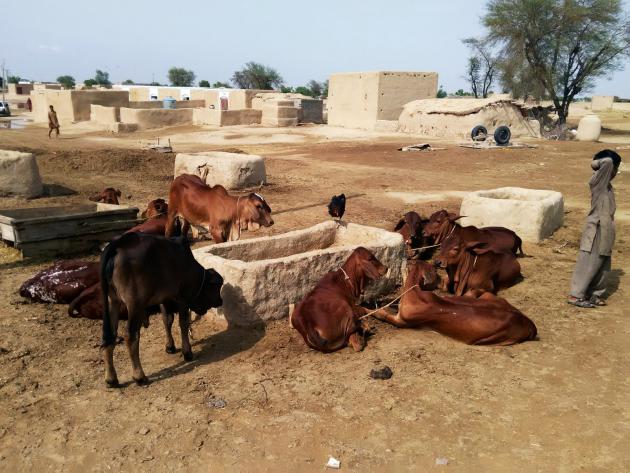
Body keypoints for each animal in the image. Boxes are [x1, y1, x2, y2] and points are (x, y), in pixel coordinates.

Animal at [101, 232, 225, 388]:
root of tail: (118, 244)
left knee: (109, 335)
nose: (220, 300)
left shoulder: (163, 299)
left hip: (112, 301)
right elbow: (183, 323)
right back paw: (139, 376)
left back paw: (111, 379)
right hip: (135, 304)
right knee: (131, 336)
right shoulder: (183, 297)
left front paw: (170, 346)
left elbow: (167, 321)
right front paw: (187, 352)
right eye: (216, 287)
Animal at [370, 260, 540, 344]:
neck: (415, 293)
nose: (442, 282)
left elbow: (381, 314)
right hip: (488, 296)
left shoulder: (402, 321)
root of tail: (529, 323)